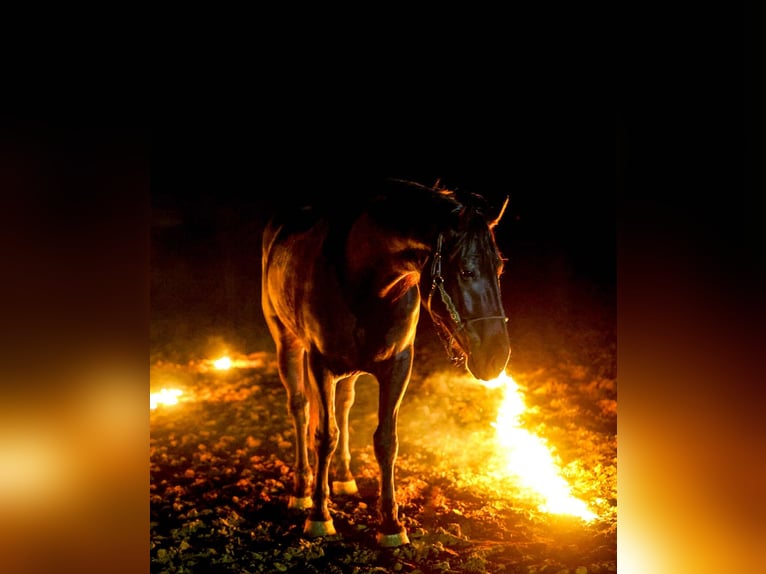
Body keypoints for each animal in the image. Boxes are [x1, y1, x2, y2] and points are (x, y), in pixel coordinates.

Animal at [260, 178, 511, 547]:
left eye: (500, 268)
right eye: (466, 271)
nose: (497, 357)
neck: (360, 280)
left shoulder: (397, 367)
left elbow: (386, 441)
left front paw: (391, 524)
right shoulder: (321, 366)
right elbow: (324, 436)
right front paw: (319, 517)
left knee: (344, 405)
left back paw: (343, 477)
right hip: (287, 343)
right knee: (300, 409)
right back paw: (302, 490)